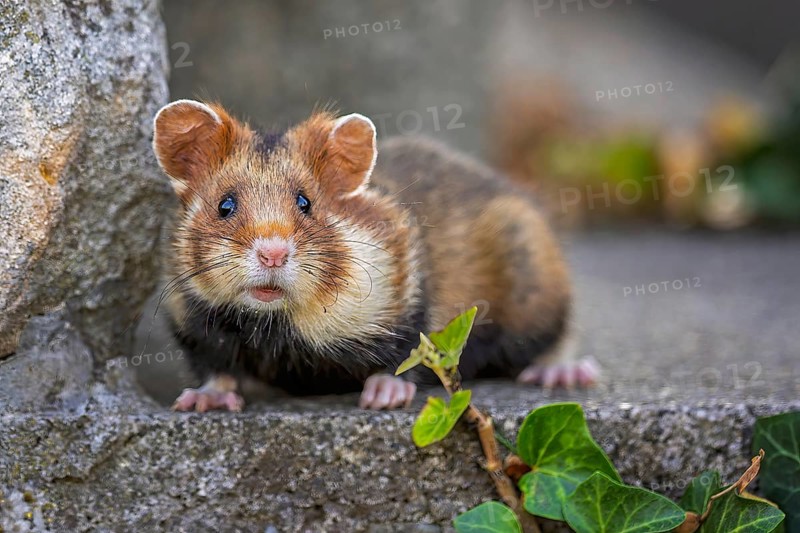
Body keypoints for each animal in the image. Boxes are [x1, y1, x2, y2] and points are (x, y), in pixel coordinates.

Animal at [151, 100, 597, 411]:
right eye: (225, 205)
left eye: (305, 203)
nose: (273, 254)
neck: (279, 325)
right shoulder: (194, 322)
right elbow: (216, 369)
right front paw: (199, 402)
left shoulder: (410, 299)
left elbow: (410, 349)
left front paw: (383, 395)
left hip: (533, 274)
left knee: (557, 334)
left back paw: (565, 375)